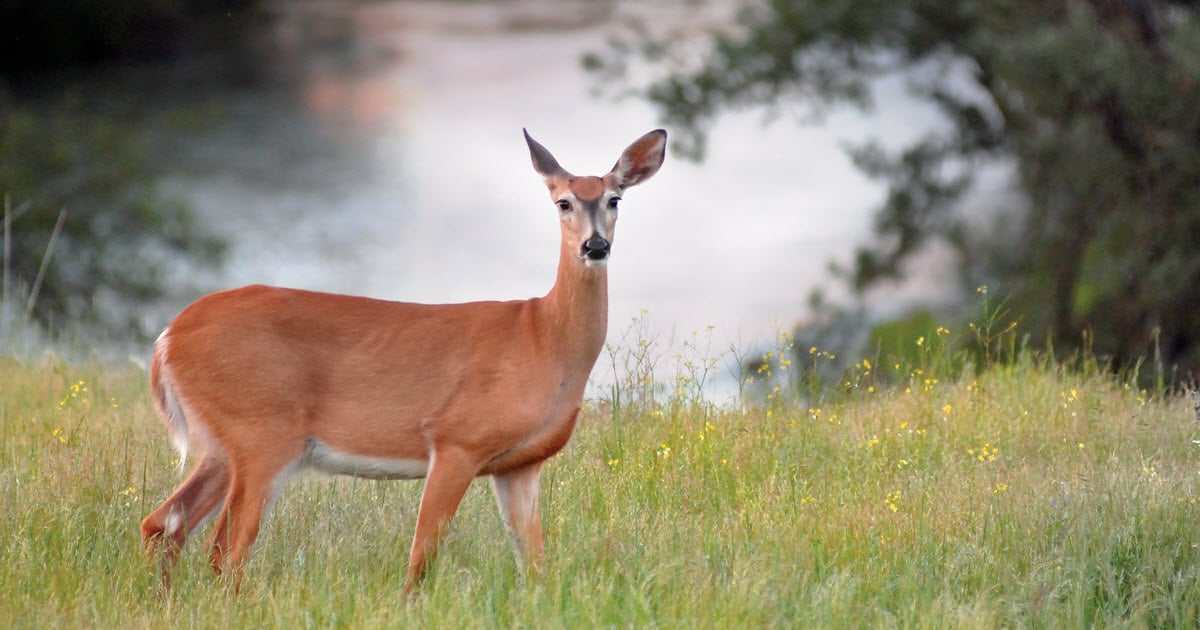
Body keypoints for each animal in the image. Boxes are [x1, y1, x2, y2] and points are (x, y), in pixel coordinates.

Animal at [142, 126, 667, 590]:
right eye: (563, 202)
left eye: (615, 199)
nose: (595, 245)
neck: (543, 337)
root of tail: (167, 337)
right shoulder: (457, 439)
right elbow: (422, 556)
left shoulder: (520, 464)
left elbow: (534, 564)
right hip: (262, 431)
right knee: (225, 548)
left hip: (221, 444)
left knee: (164, 523)